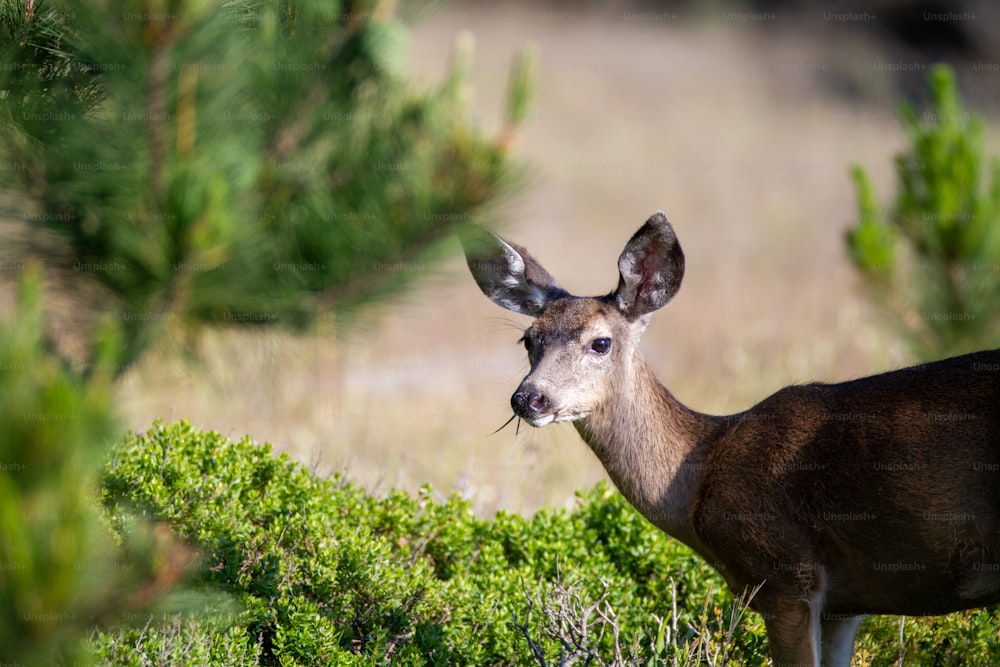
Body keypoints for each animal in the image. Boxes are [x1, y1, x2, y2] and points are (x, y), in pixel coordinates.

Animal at [458, 213, 1000, 667]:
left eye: (601, 342)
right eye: (529, 340)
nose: (529, 398)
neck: (701, 472)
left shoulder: (787, 574)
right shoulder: (845, 604)